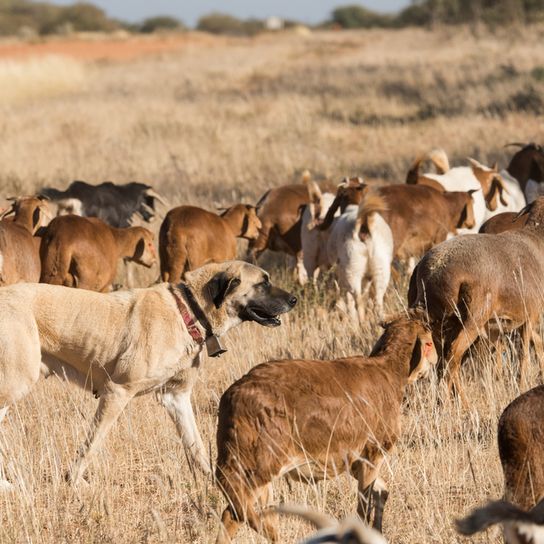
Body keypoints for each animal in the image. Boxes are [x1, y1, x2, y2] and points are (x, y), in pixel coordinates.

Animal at [0, 260, 296, 488]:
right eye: (263, 283)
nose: (294, 299)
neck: (188, 310)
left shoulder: (176, 398)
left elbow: (196, 446)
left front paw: (218, 485)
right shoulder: (117, 391)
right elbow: (93, 442)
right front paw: (73, 482)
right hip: (16, 382)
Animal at [214, 308, 438, 540]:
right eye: (430, 342)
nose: (436, 361)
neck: (389, 371)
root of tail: (232, 396)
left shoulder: (354, 462)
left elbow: (382, 491)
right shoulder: (372, 454)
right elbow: (364, 505)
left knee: (260, 517)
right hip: (254, 469)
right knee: (235, 515)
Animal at [408, 198, 544, 406]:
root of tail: (433, 271)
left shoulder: (503, 326)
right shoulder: (529, 316)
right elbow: (525, 356)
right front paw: (521, 387)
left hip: (439, 322)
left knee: (443, 360)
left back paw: (455, 401)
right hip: (472, 318)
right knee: (452, 356)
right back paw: (451, 403)